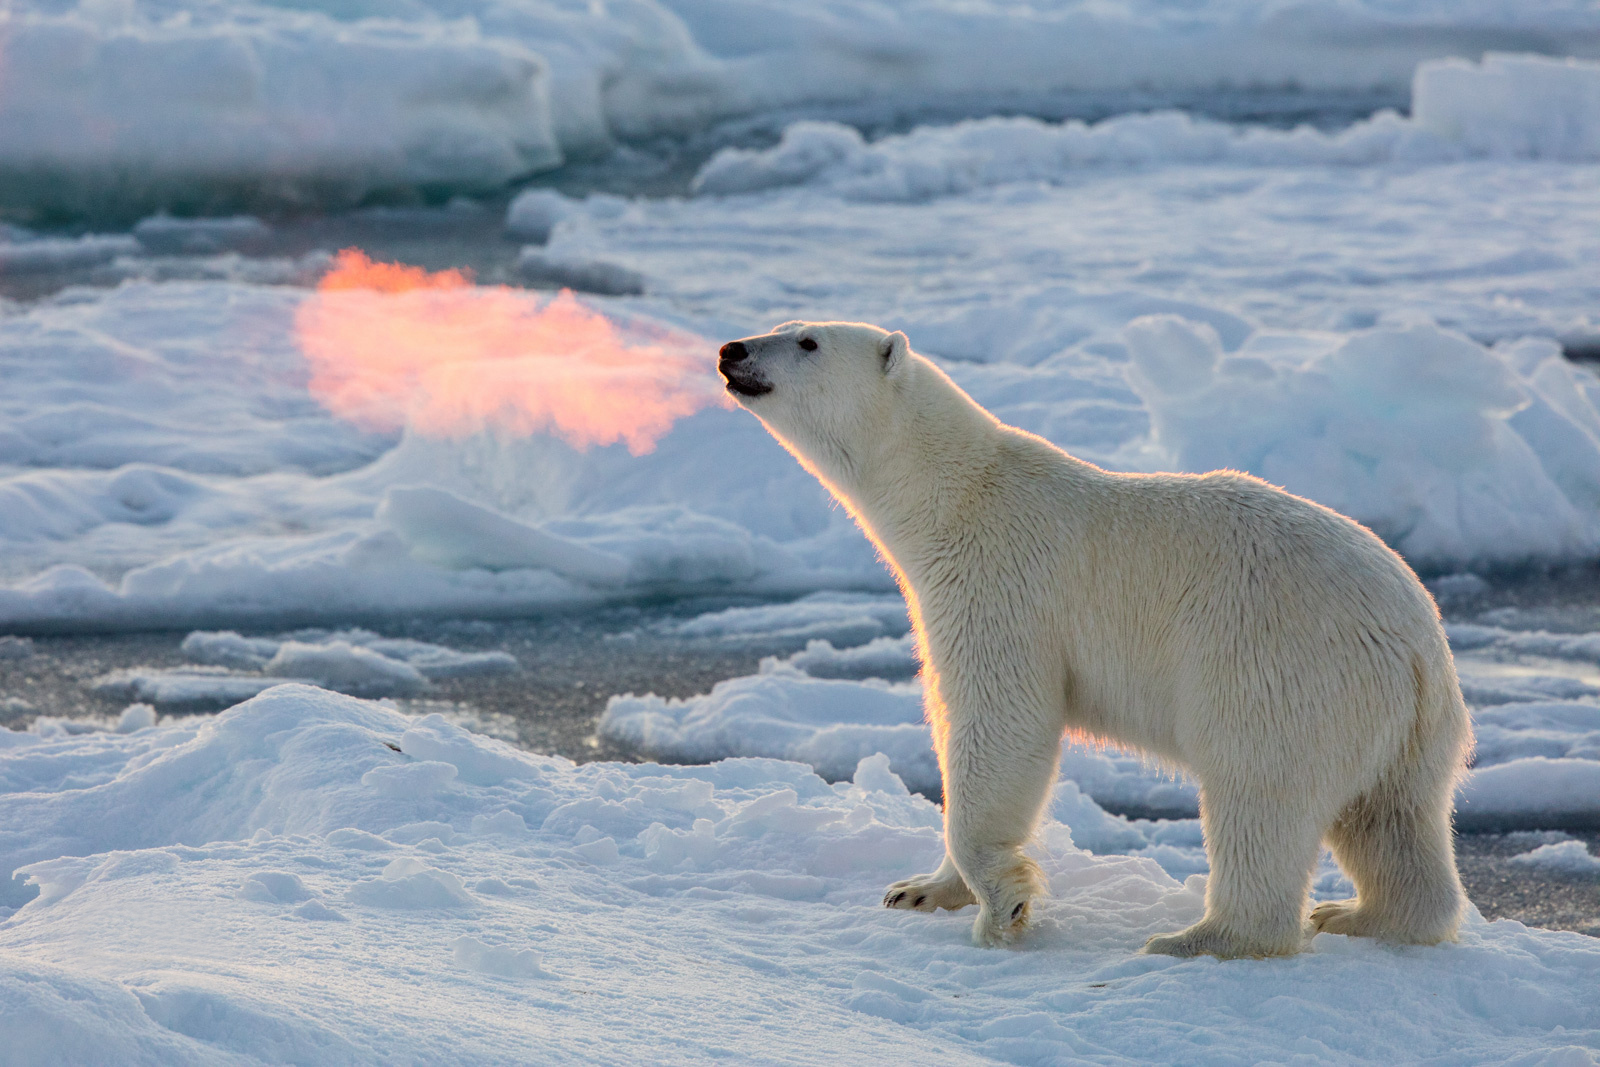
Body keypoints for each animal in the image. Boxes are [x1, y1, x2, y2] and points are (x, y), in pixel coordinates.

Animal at [720, 319, 1465, 959]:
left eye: (807, 341)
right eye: (782, 324)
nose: (731, 350)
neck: (953, 496)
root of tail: (1417, 645)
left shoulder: (1000, 585)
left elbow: (1002, 721)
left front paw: (1003, 907)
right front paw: (919, 889)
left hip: (1280, 668)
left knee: (1259, 797)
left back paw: (1200, 937)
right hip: (1403, 728)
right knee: (1391, 819)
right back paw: (1361, 914)